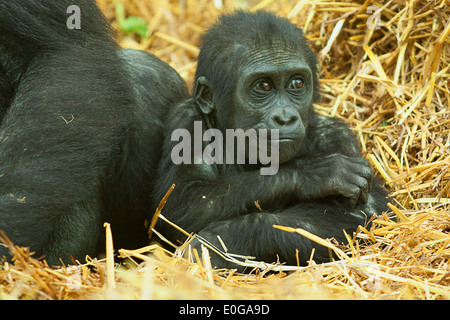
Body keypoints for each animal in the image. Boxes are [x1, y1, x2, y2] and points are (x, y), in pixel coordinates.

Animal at [156, 10, 388, 270]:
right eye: (264, 86)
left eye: (296, 83)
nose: (285, 117)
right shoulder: (186, 119)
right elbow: (183, 200)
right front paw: (316, 173)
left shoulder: (337, 136)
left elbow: (362, 213)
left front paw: (224, 238)